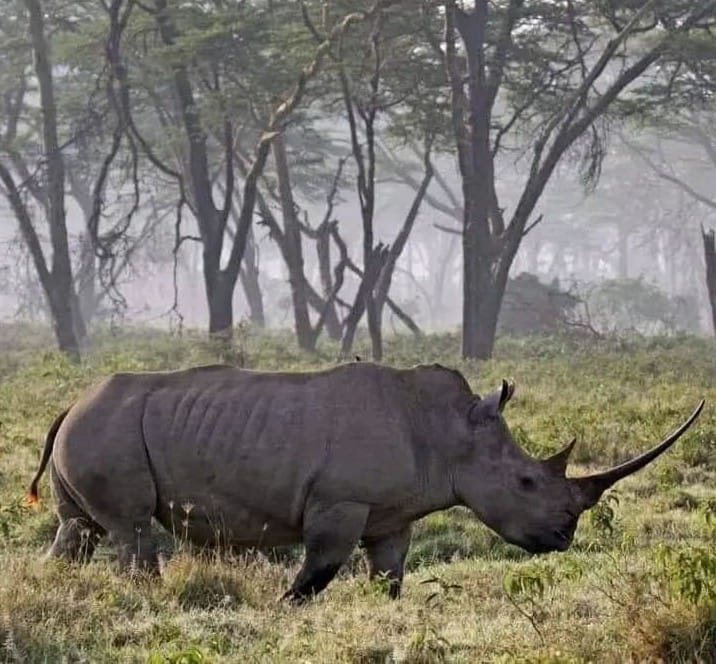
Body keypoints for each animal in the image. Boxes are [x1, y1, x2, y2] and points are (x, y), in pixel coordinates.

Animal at [27, 362, 704, 601]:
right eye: (526, 483)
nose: (564, 539)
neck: (451, 432)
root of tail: (69, 402)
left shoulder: (391, 515)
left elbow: (389, 576)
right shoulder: (340, 501)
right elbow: (319, 570)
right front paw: (285, 608)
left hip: (94, 428)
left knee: (77, 530)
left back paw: (55, 586)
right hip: (107, 429)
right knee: (130, 530)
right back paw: (145, 596)